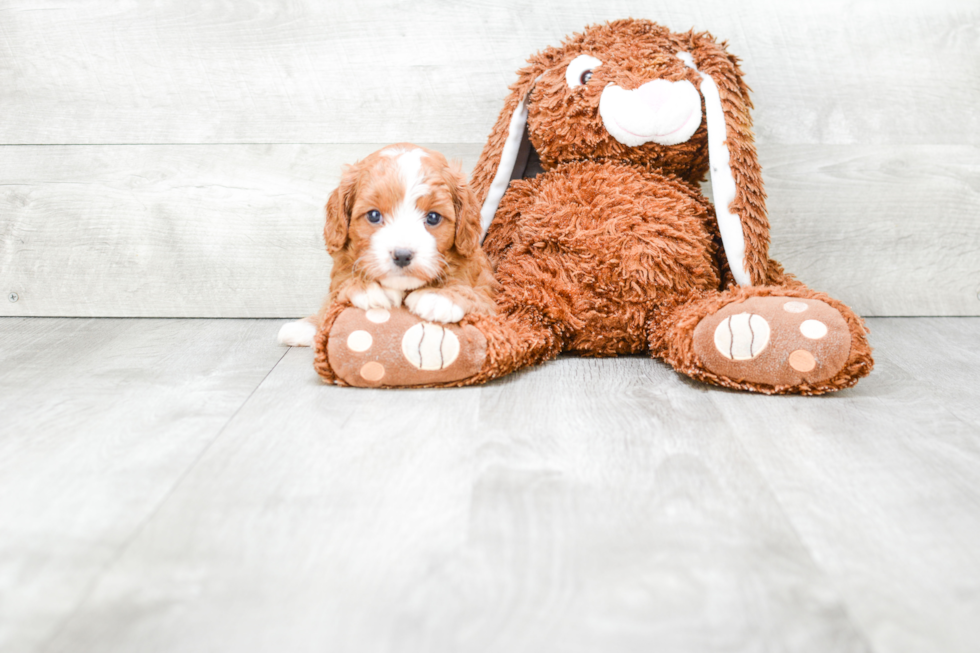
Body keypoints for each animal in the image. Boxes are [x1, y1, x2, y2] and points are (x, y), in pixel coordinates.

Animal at [278, 143, 498, 346]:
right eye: (374, 215)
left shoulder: (490, 297)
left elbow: (477, 295)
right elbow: (337, 290)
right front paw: (367, 288)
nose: (402, 255)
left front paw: (442, 296)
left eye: (433, 217)